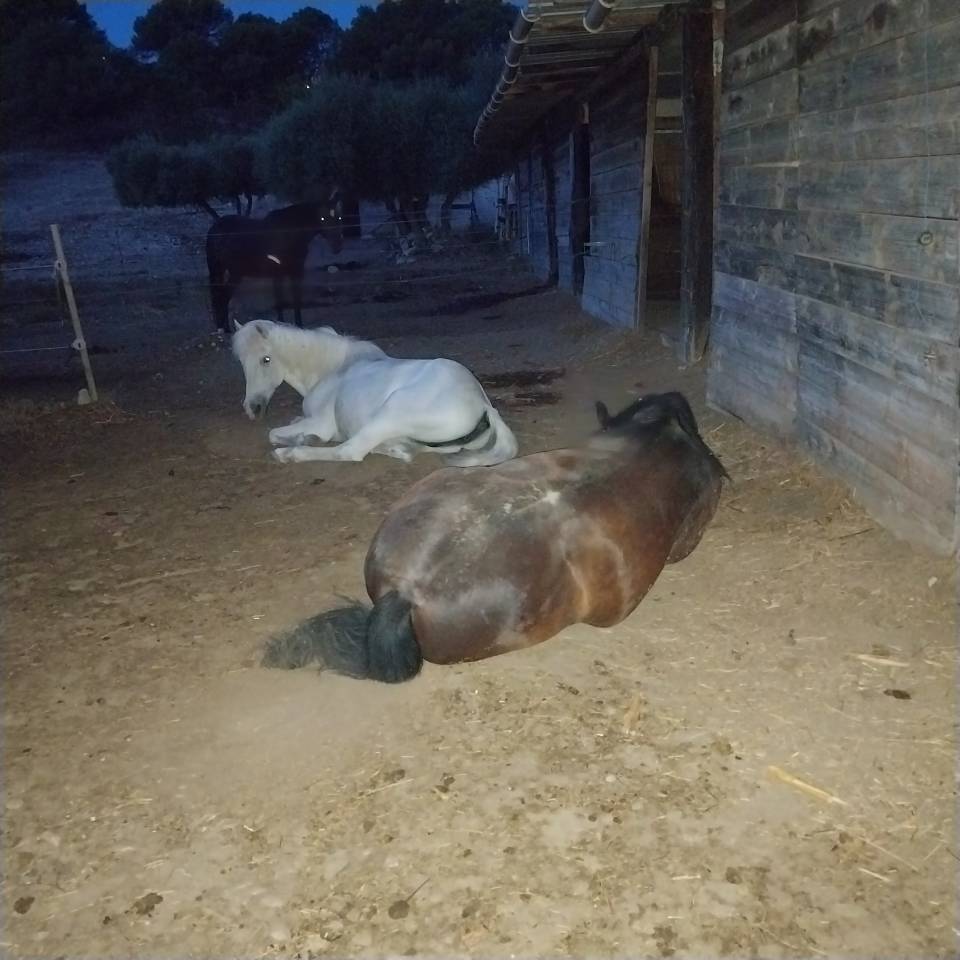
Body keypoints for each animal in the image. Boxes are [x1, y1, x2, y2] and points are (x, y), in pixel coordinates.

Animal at [206, 194, 344, 334]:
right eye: (322, 218)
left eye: (339, 217)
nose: (337, 245)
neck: (290, 233)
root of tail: (215, 229)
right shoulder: (287, 274)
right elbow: (287, 301)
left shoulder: (287, 274)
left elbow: (288, 301)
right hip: (232, 273)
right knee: (223, 296)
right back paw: (224, 329)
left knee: (221, 296)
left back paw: (224, 328)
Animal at [231, 319, 518, 467]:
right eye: (241, 362)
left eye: (266, 360)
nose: (253, 408)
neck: (334, 368)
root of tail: (483, 405)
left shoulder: (321, 422)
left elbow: (273, 433)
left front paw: (300, 441)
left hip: (391, 412)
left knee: (350, 451)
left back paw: (292, 454)